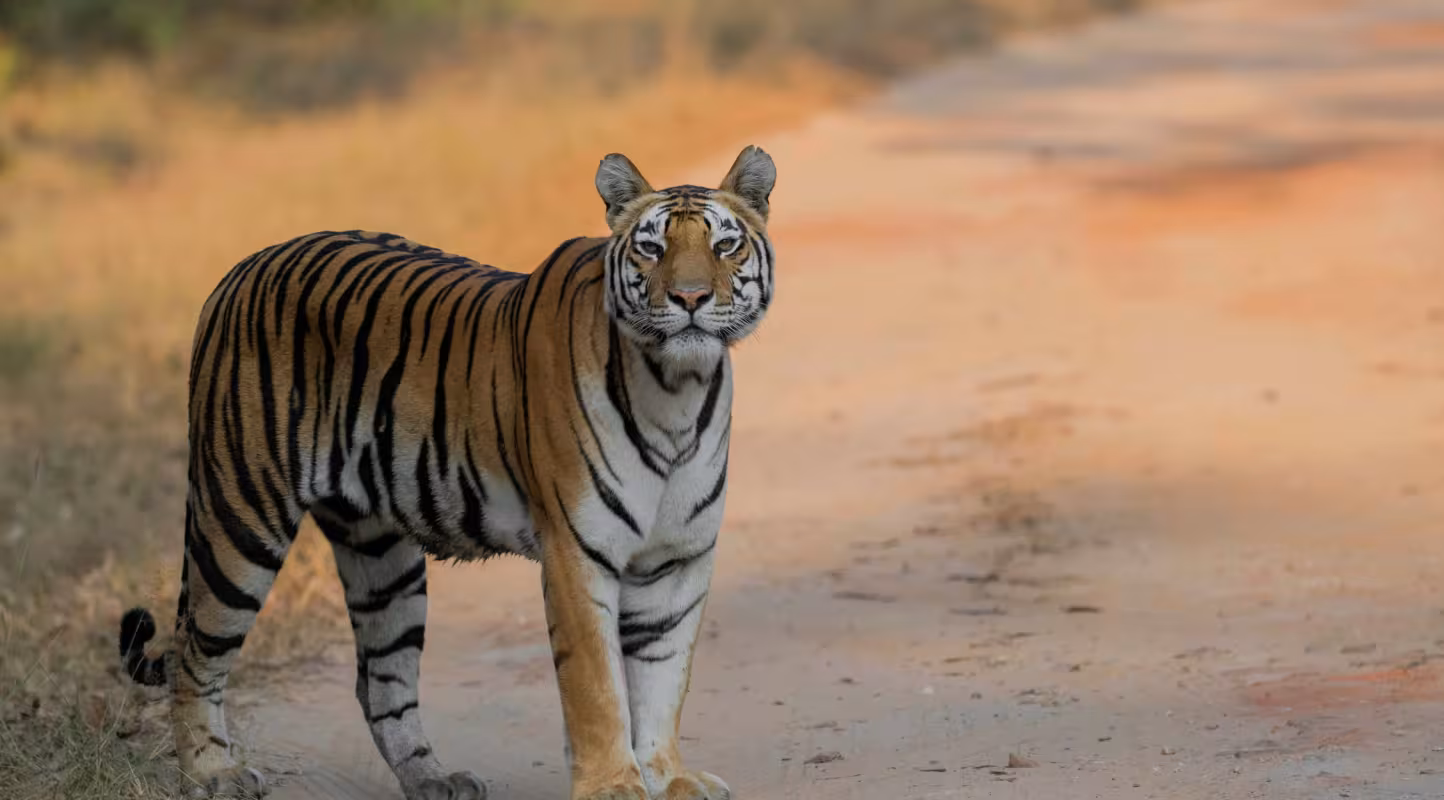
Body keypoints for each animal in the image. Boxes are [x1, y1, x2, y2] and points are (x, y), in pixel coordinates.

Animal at [116, 145, 777, 800]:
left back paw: (433, 778)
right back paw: (212, 772)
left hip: (384, 561)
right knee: (192, 652)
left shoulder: (676, 562)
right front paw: (613, 786)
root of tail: (242, 267)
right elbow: (597, 687)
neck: (676, 392)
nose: (689, 298)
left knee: (380, 681)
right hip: (240, 516)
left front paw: (669, 778)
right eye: (651, 249)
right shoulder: (577, 553)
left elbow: (662, 682)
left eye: (725, 246)